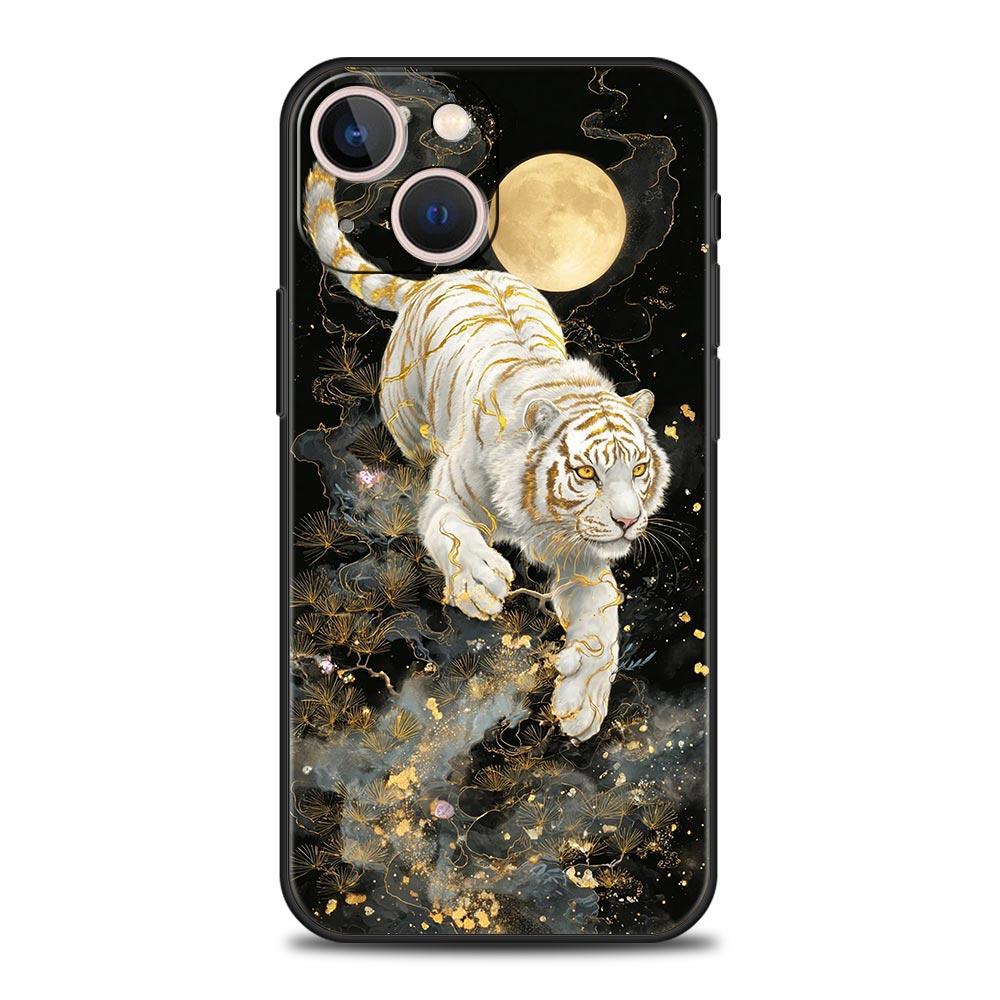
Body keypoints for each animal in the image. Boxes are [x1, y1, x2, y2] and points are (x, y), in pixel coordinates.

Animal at [304, 166, 670, 741]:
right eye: (585, 472)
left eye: (637, 469)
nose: (628, 521)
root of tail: (447, 275)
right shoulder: (448, 498)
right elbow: (451, 533)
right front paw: (482, 582)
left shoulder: (581, 553)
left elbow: (601, 622)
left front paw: (582, 702)